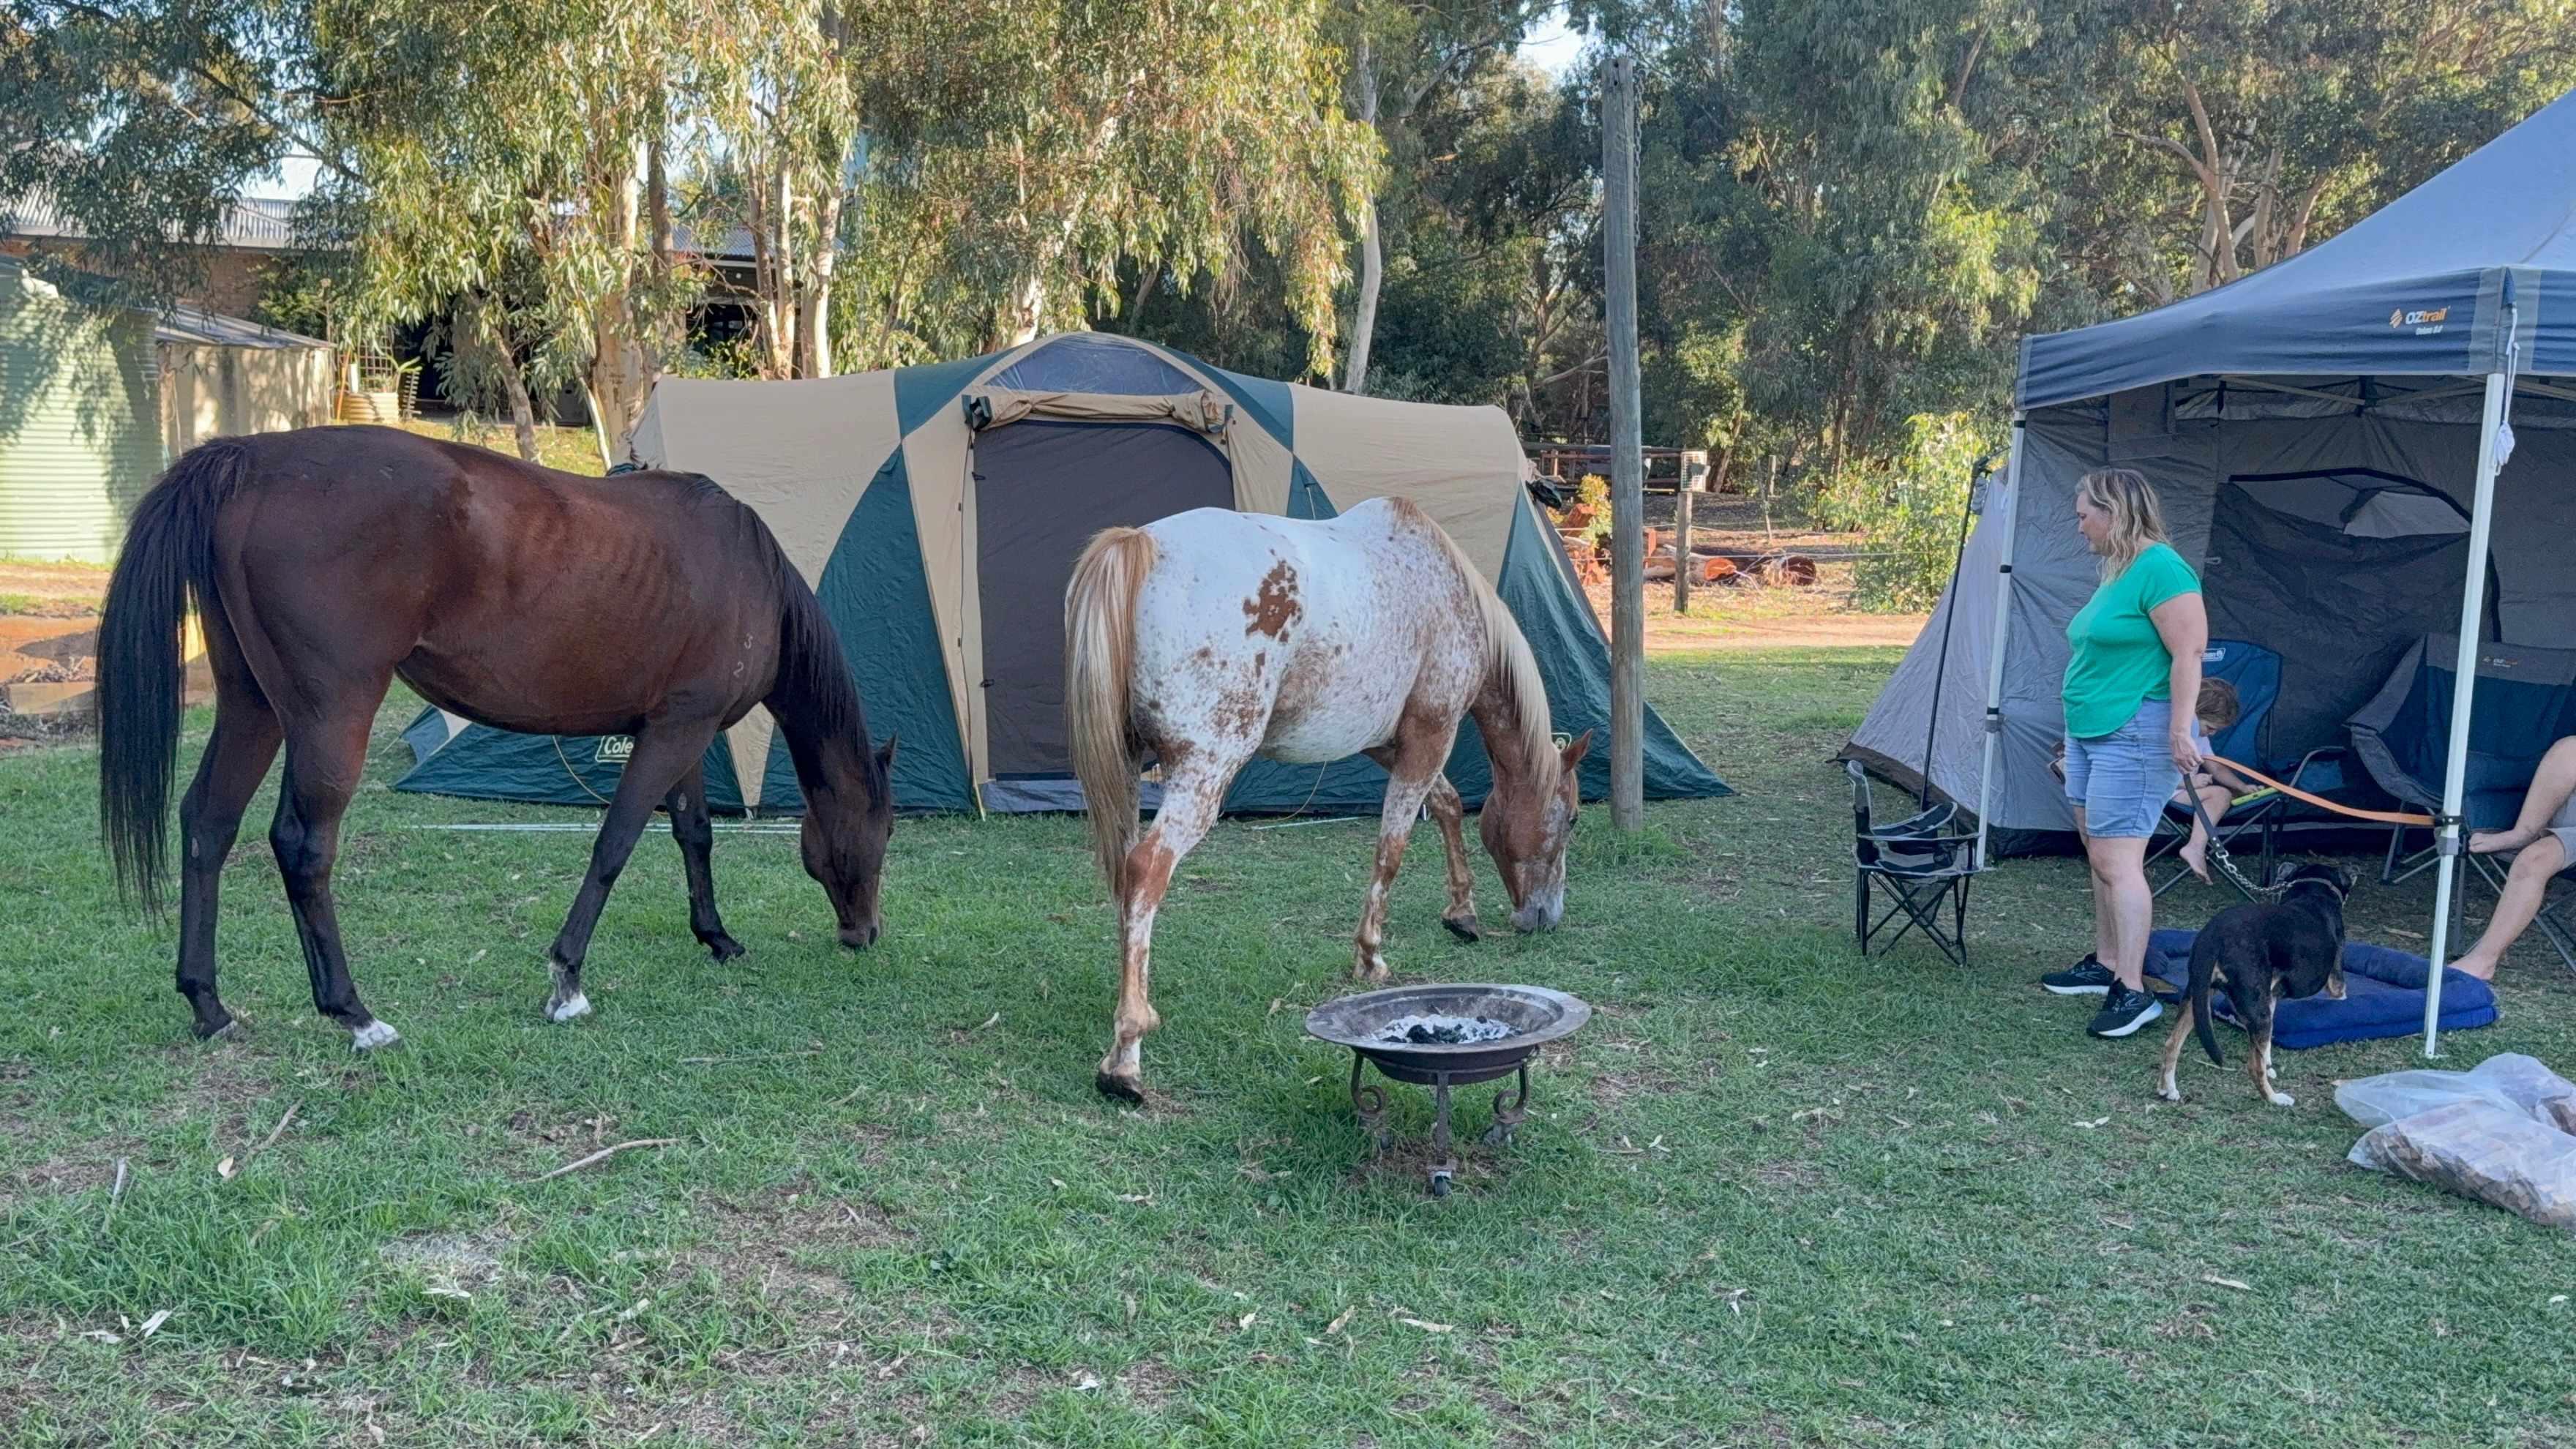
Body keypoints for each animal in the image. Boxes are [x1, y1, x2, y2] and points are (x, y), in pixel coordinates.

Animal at [96, 425, 897, 1049]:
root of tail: (251, 458)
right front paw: (567, 979)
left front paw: (717, 937)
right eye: (881, 833)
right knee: (302, 845)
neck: (747, 571)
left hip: (253, 706)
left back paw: (209, 1005)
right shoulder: (676, 734)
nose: (865, 935)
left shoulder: (680, 730)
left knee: (208, 824)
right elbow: (615, 844)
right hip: (331, 715)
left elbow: (693, 835)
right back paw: (353, 1013)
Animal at [1063, 496, 1590, 1102]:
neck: (1447, 590)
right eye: (1572, 820)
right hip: (1203, 773)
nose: (1546, 917)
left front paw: (1462, 911)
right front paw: (1371, 955)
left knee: (1126, 876)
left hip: (1129, 774)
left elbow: (1449, 805)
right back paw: (1126, 1054)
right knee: (1147, 868)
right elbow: (1393, 849)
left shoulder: (1388, 745)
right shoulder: (1430, 737)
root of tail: (1140, 544)